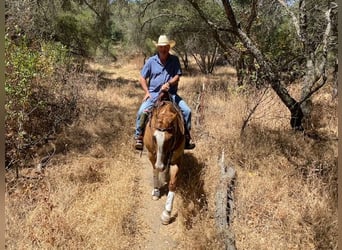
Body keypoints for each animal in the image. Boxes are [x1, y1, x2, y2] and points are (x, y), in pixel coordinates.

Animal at [142, 93, 184, 226]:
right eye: (154, 137)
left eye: (170, 139)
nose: (161, 166)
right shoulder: (152, 155)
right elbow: (155, 170)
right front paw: (156, 192)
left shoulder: (177, 159)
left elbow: (173, 183)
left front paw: (166, 214)